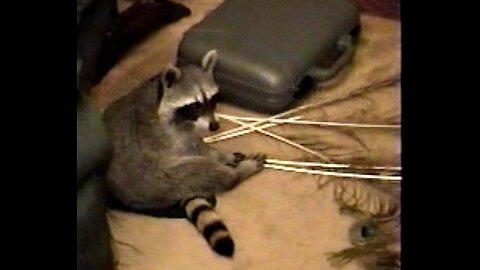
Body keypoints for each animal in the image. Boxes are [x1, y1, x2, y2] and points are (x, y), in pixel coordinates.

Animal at [103, 49, 266, 256]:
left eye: (213, 99)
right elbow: (194, 148)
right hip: (156, 179)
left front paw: (219, 152)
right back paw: (237, 173)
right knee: (203, 171)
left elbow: (198, 141)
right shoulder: (167, 135)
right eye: (195, 105)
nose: (215, 126)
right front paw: (220, 157)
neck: (160, 92)